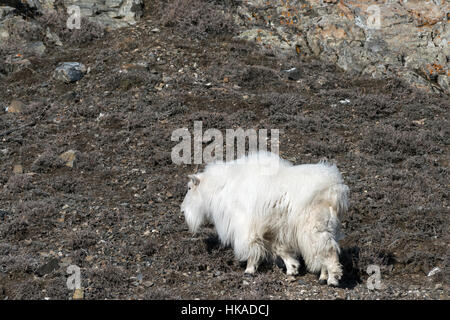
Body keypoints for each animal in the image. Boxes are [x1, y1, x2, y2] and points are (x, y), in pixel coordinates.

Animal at [181, 151, 350, 286]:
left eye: (189, 188)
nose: (182, 210)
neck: (222, 187)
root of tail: (334, 190)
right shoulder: (271, 230)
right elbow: (279, 248)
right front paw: (292, 268)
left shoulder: (247, 227)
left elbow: (252, 248)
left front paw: (249, 270)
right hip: (329, 228)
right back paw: (323, 277)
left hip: (315, 229)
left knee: (328, 251)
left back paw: (332, 279)